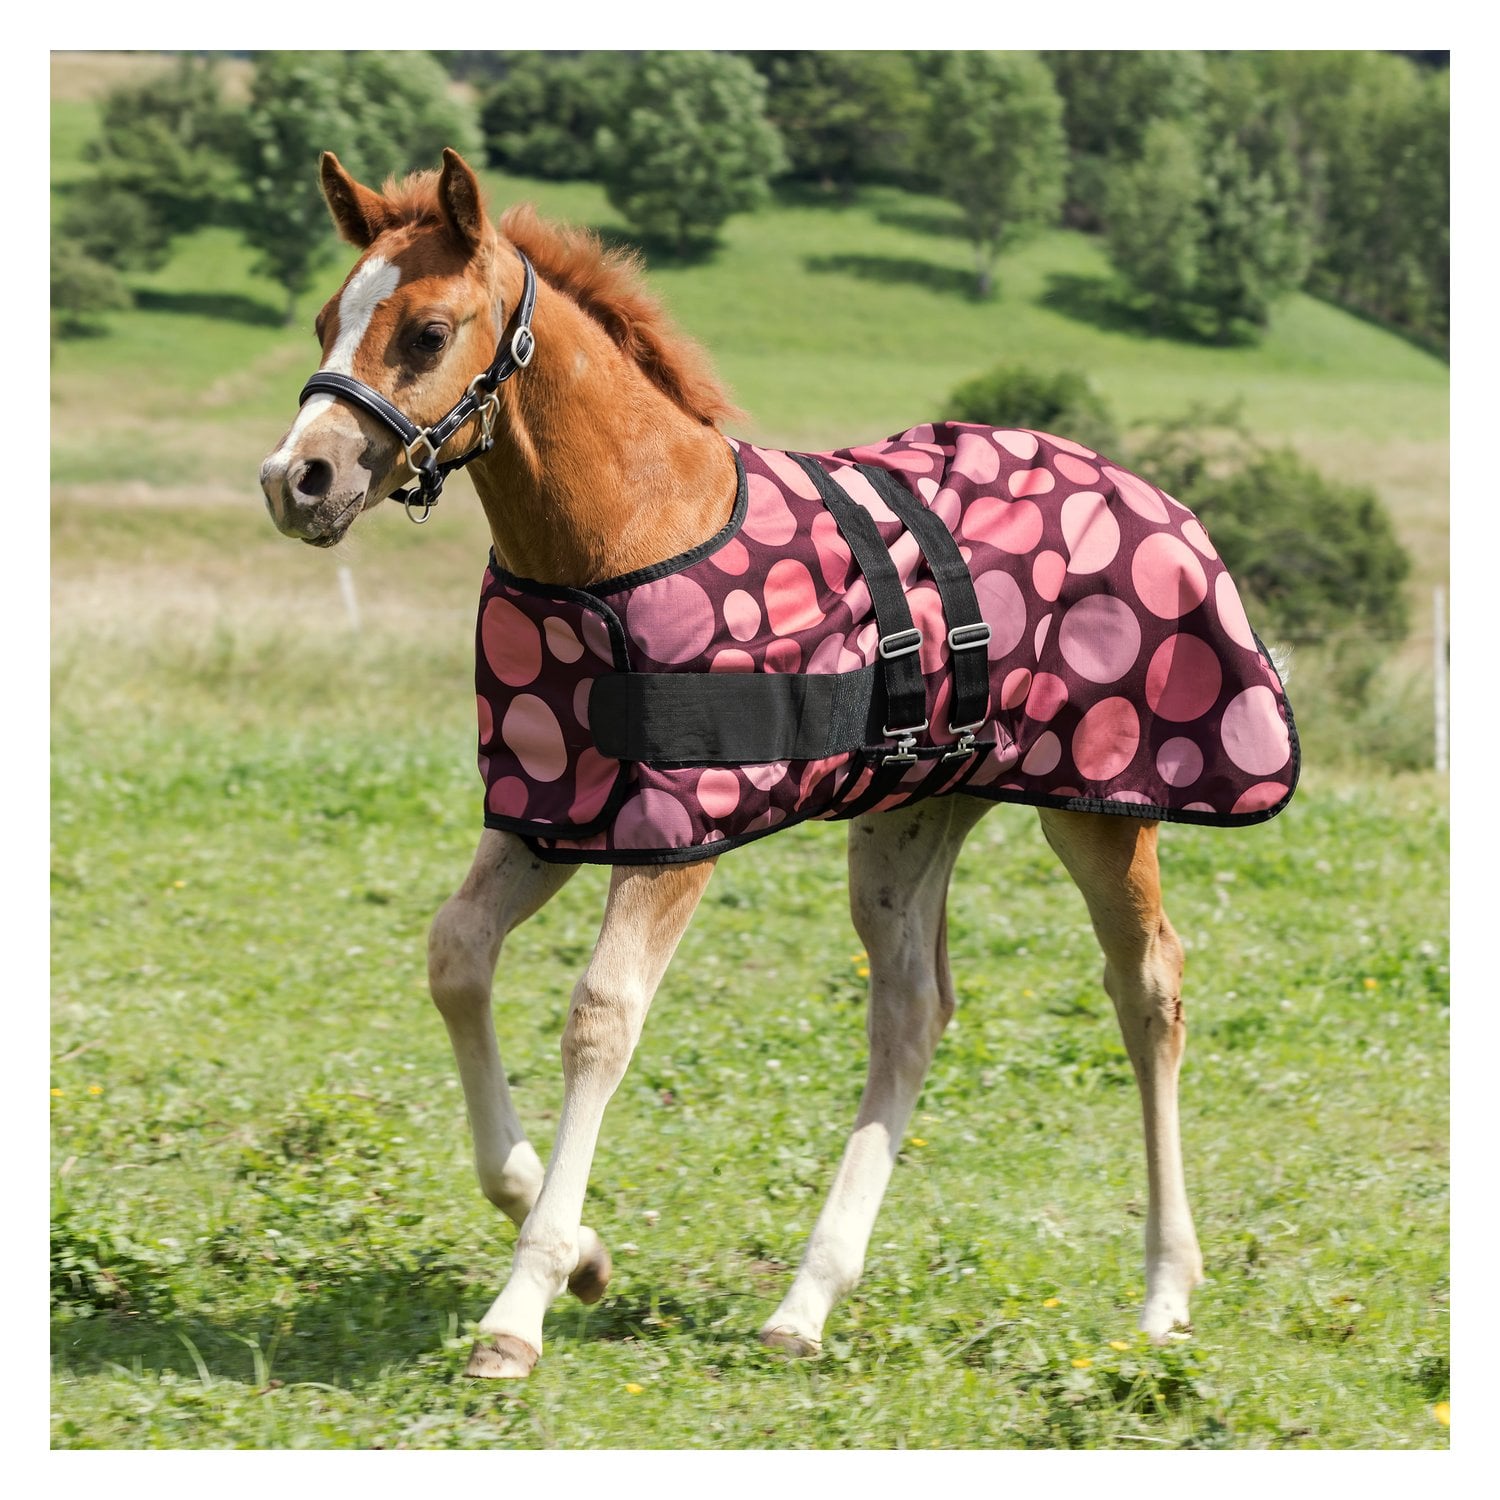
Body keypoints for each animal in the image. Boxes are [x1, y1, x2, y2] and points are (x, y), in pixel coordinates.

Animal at [258, 149, 1297, 1380]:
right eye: (327, 318)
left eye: (424, 332)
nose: (296, 479)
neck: (627, 530)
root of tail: (1156, 494)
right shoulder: (550, 810)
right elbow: (456, 956)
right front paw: (583, 1252)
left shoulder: (675, 834)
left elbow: (601, 1015)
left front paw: (522, 1306)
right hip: (912, 814)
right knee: (912, 1011)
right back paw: (806, 1301)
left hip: (1099, 808)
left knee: (1149, 991)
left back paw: (1164, 1292)